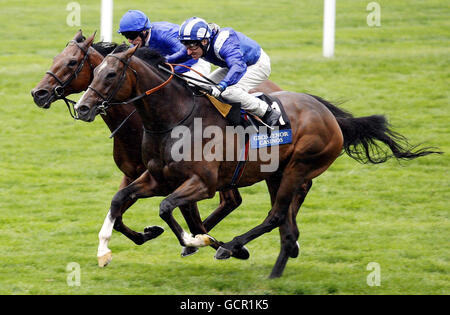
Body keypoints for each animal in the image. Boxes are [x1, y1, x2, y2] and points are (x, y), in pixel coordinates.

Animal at [29, 30, 282, 260]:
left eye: (72, 62)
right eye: (55, 59)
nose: (38, 93)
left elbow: (183, 213)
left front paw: (207, 242)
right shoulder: (137, 174)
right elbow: (118, 212)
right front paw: (149, 233)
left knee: (230, 201)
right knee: (230, 202)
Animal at [74, 45, 440, 278]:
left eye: (110, 75)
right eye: (94, 72)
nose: (83, 107)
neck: (175, 118)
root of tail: (329, 115)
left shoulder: (202, 184)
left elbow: (168, 209)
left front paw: (200, 242)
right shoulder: (156, 177)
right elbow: (120, 198)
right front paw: (104, 251)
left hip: (298, 169)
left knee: (276, 215)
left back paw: (234, 247)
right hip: (276, 174)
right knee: (286, 225)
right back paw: (273, 270)